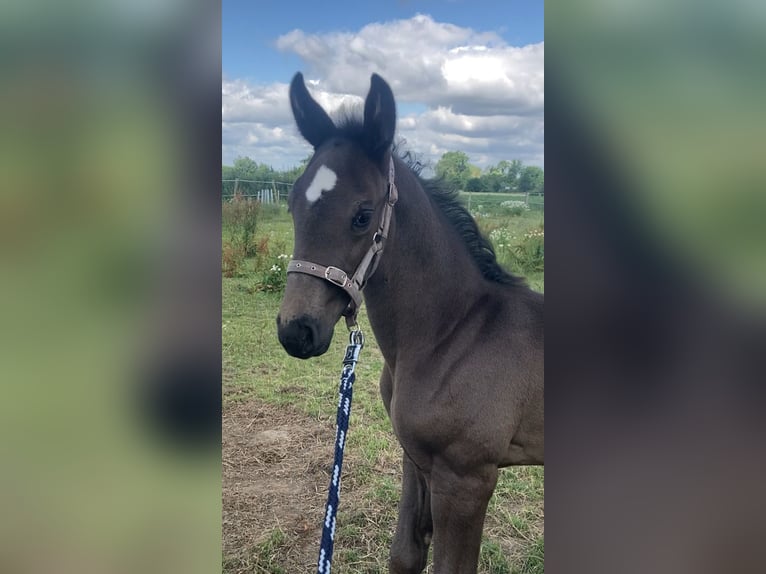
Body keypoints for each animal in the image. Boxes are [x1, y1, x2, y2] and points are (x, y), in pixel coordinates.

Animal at [277, 72, 544, 574]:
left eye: (363, 215)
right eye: (292, 203)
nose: (296, 331)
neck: (452, 335)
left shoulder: (466, 479)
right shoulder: (416, 460)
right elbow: (405, 555)